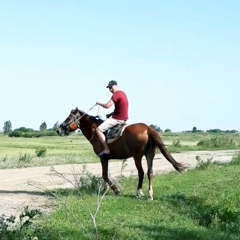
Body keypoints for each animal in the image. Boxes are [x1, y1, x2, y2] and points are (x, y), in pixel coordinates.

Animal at [56, 108, 188, 200]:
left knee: (141, 173)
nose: (58, 129)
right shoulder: (106, 159)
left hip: (137, 156)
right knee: (150, 173)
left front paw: (115, 190)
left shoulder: (103, 158)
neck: (95, 130)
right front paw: (105, 190)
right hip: (150, 155)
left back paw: (138, 193)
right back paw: (150, 194)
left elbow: (105, 175)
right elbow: (105, 176)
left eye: (69, 118)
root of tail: (148, 129)